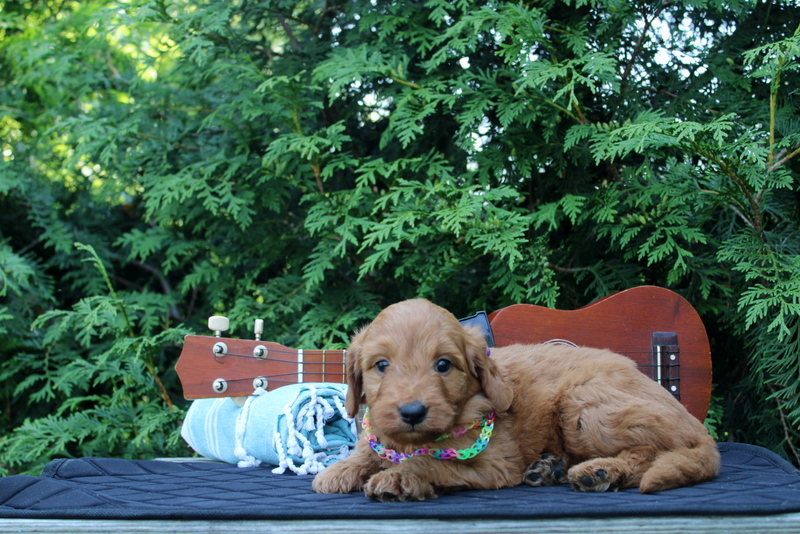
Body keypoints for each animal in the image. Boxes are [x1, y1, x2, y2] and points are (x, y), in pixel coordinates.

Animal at [310, 300, 720, 500]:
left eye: (443, 365)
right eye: (381, 365)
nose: (412, 412)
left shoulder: (493, 465)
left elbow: (428, 463)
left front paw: (398, 477)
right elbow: (370, 447)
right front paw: (340, 470)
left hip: (583, 404)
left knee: (654, 450)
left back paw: (601, 471)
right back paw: (552, 468)